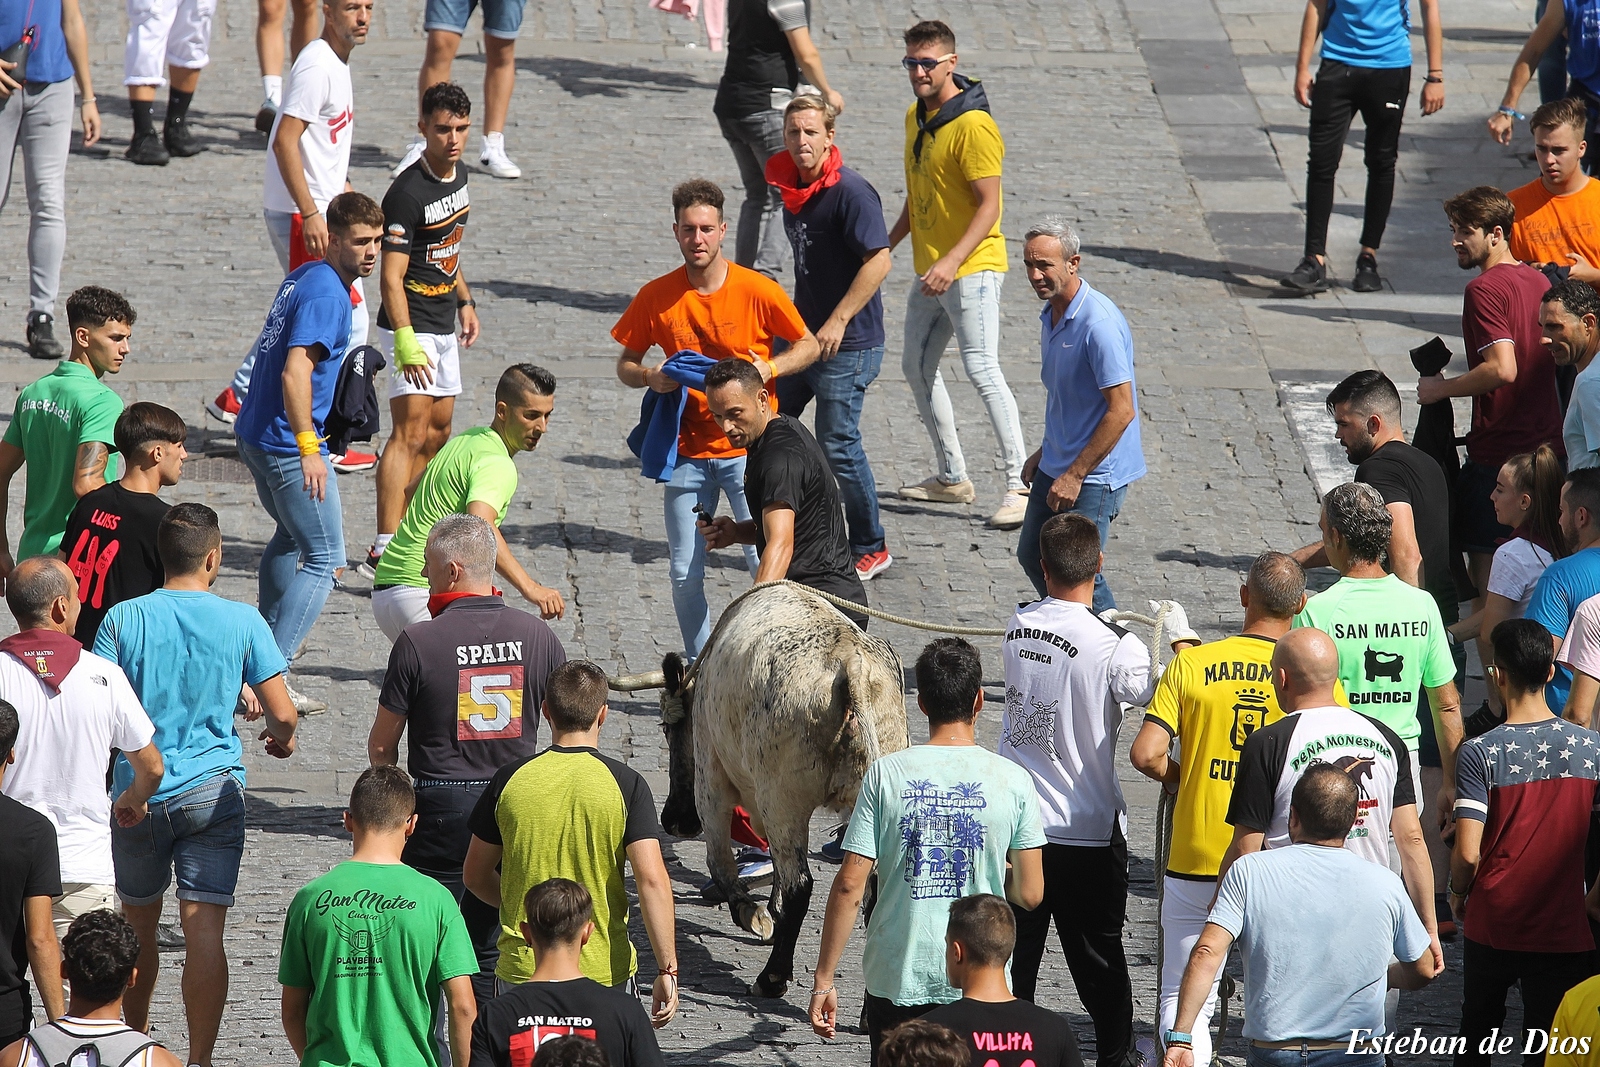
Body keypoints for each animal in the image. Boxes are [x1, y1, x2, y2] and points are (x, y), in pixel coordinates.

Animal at [656, 579, 908, 998]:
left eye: (668, 728)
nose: (673, 820)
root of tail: (848, 660)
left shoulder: (711, 779)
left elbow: (720, 864)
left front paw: (754, 915)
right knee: (873, 890)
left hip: (781, 801)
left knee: (799, 884)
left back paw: (772, 976)